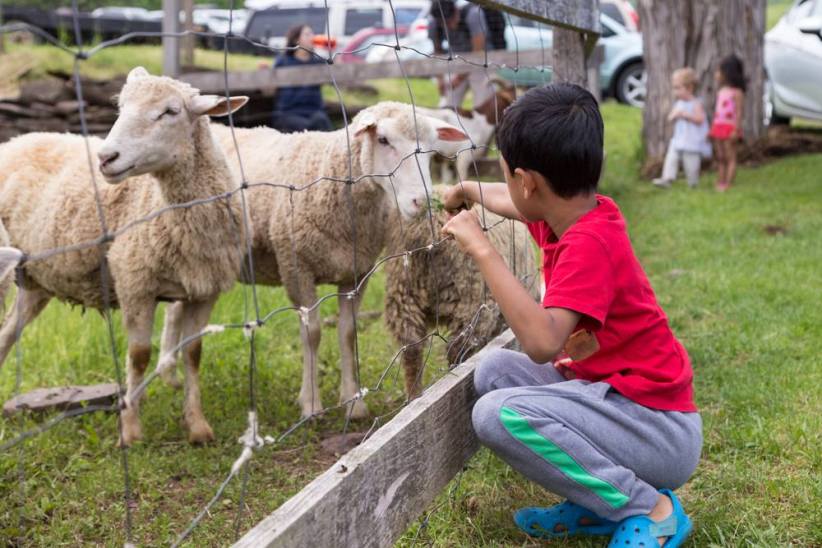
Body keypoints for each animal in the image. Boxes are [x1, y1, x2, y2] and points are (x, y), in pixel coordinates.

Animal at [0, 67, 248, 446]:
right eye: (120, 108)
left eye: (170, 111)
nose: (106, 158)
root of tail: (13, 141)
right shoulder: (134, 282)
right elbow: (139, 356)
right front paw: (130, 429)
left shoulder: (205, 290)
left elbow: (193, 354)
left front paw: (198, 426)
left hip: (35, 280)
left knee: (8, 332)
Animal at [160, 101, 470, 420]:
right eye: (383, 140)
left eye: (430, 149)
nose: (421, 202)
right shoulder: (296, 268)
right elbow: (312, 334)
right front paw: (310, 405)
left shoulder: (358, 273)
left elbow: (348, 333)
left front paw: (353, 402)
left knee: (175, 309)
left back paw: (170, 374)